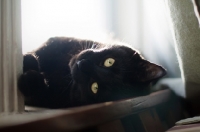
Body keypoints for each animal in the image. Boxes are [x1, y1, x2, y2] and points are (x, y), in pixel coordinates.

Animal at [18, 36, 166, 108]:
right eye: (109, 62)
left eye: (94, 87)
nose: (82, 64)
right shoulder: (55, 43)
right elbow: (40, 51)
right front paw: (29, 59)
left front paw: (30, 76)